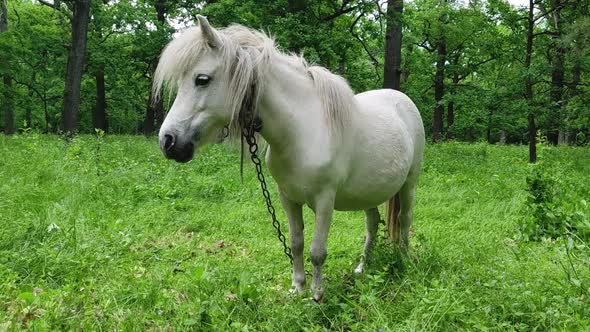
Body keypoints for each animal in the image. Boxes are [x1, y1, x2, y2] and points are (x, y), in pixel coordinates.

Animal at [156, 15, 426, 300]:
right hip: (368, 192)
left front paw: (317, 294)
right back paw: (362, 268)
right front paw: (297, 287)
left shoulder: (325, 201)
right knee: (372, 224)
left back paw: (403, 260)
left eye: (202, 79)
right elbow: (296, 243)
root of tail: (402, 100)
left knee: (404, 219)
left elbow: (317, 251)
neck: (302, 130)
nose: (168, 141)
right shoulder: (287, 198)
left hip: (409, 184)